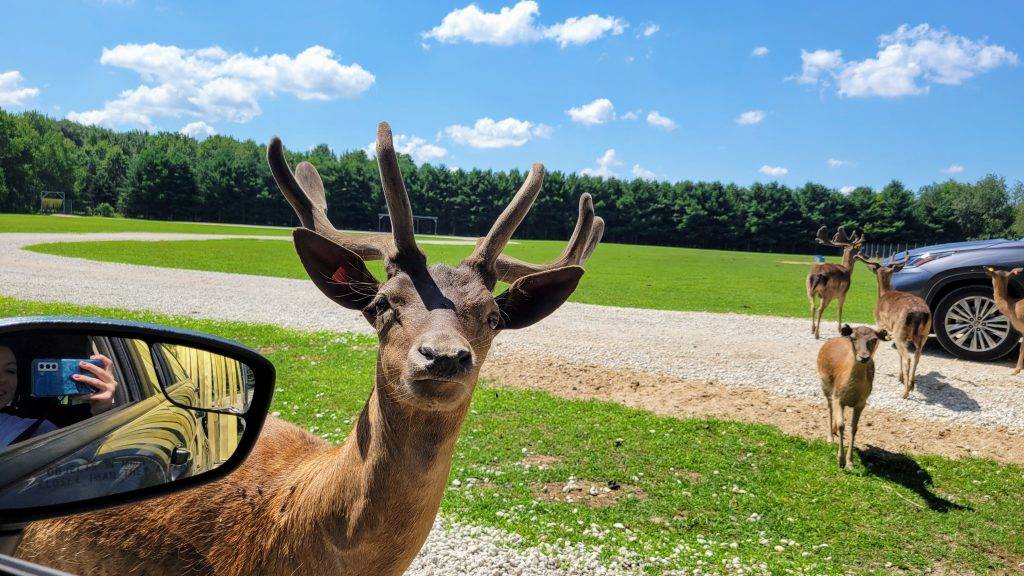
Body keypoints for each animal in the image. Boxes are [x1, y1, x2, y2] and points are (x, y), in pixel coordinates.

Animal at [815, 319, 888, 469]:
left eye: (874, 339)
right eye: (853, 338)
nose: (864, 357)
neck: (852, 391)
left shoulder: (862, 402)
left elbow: (854, 427)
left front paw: (850, 462)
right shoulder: (838, 397)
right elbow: (842, 424)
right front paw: (840, 460)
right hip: (824, 384)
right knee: (829, 408)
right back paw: (830, 437)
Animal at [860, 253, 933, 397]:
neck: (883, 294)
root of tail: (918, 313)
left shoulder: (879, 323)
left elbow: (876, 345)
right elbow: (898, 353)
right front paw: (900, 377)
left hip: (900, 333)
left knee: (908, 359)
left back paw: (905, 392)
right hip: (923, 334)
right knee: (917, 357)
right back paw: (911, 384)